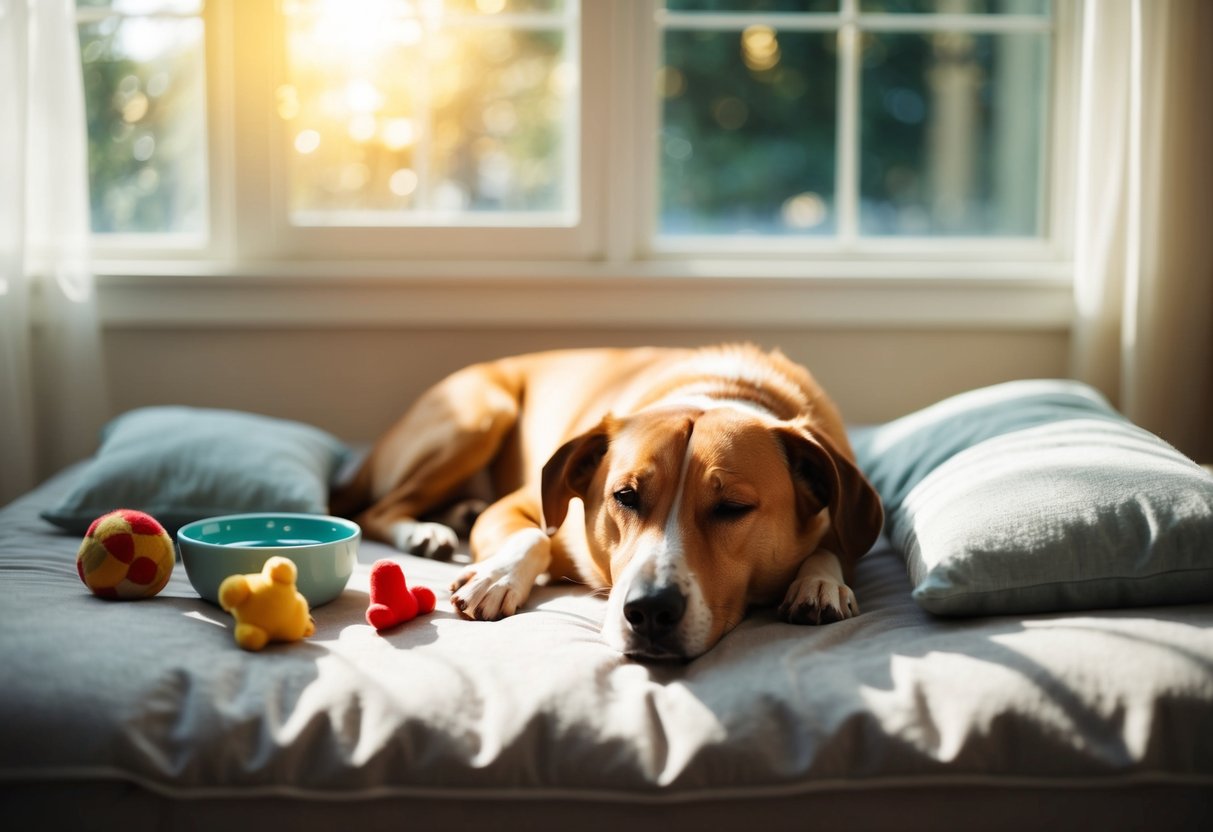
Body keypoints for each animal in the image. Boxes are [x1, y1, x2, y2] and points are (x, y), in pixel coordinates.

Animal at [332, 342, 883, 659]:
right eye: (625, 496)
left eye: (732, 508)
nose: (651, 610)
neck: (721, 390)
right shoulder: (516, 508)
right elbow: (535, 534)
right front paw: (497, 576)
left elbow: (834, 546)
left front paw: (819, 583)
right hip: (481, 413)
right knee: (375, 509)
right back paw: (425, 531)